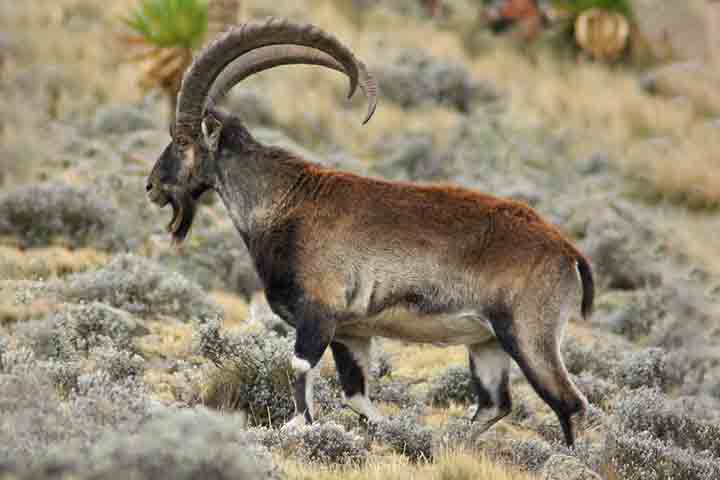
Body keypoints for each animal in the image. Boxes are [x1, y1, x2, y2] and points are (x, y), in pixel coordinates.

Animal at [146, 17, 594, 447]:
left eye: (182, 141)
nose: (151, 187)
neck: (286, 201)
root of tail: (567, 250)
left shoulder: (318, 313)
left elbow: (300, 376)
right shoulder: (352, 334)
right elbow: (355, 396)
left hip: (529, 336)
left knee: (568, 403)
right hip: (488, 344)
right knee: (495, 405)